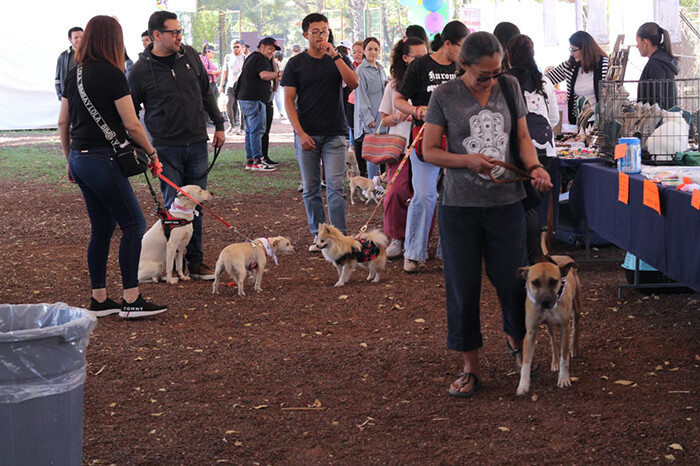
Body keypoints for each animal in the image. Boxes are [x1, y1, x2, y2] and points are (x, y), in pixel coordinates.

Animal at [516, 256, 584, 396]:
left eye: (553, 281)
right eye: (535, 282)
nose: (545, 302)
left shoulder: (564, 328)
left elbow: (565, 358)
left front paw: (563, 378)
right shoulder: (530, 333)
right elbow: (526, 362)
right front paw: (523, 384)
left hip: (576, 308)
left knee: (575, 328)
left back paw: (574, 348)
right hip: (549, 326)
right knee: (553, 340)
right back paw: (555, 361)